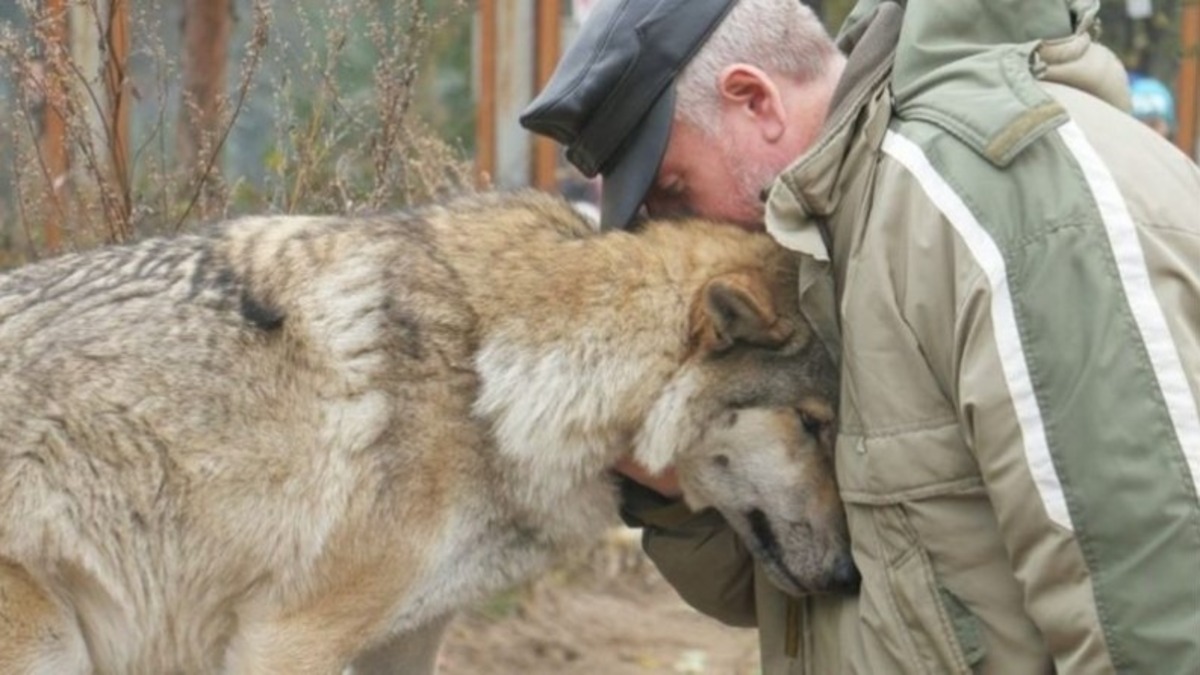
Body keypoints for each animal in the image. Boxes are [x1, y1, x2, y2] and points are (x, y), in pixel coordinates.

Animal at [0, 190, 854, 672]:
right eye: (814, 425)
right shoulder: (288, 637)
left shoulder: (408, 635)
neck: (490, 380)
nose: (851, 577)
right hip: (51, 647)